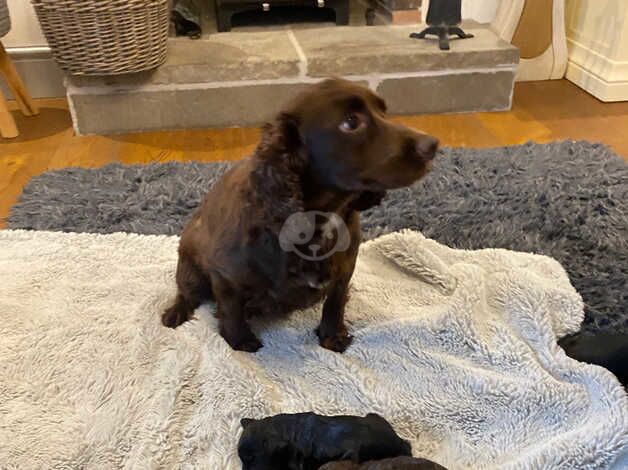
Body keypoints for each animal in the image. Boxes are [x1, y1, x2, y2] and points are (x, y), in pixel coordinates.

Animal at [162, 79, 436, 350]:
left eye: (384, 112)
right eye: (351, 122)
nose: (432, 145)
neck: (321, 218)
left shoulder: (344, 269)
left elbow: (335, 302)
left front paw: (332, 335)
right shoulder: (225, 274)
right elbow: (231, 310)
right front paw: (240, 341)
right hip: (190, 268)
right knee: (186, 292)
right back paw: (175, 313)